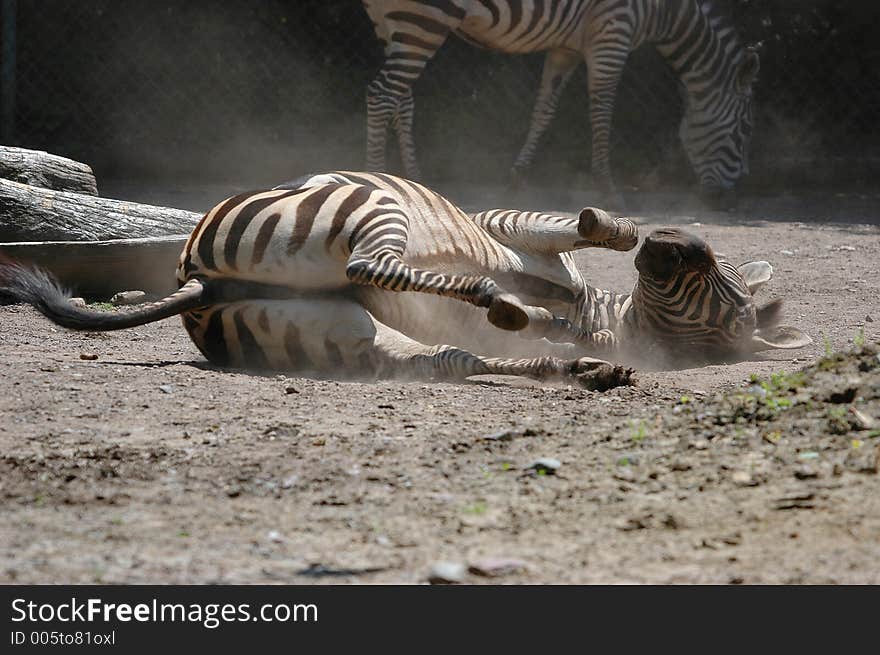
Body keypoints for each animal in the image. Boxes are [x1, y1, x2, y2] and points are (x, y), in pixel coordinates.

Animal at [1, 172, 812, 386]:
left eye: (736, 309)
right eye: (724, 277)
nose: (677, 239)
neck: (596, 314)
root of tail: (201, 285)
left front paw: (549, 324)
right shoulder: (507, 223)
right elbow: (579, 228)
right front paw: (617, 229)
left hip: (345, 325)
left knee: (430, 335)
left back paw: (555, 351)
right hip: (373, 215)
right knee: (382, 276)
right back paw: (529, 320)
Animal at [360, 0, 760, 206]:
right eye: (743, 131)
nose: (732, 199)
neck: (666, 11)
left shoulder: (565, 48)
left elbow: (544, 110)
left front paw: (518, 178)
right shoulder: (612, 35)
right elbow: (602, 113)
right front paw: (608, 188)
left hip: (391, 24)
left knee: (401, 100)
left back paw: (413, 179)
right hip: (423, 20)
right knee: (382, 95)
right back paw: (377, 178)